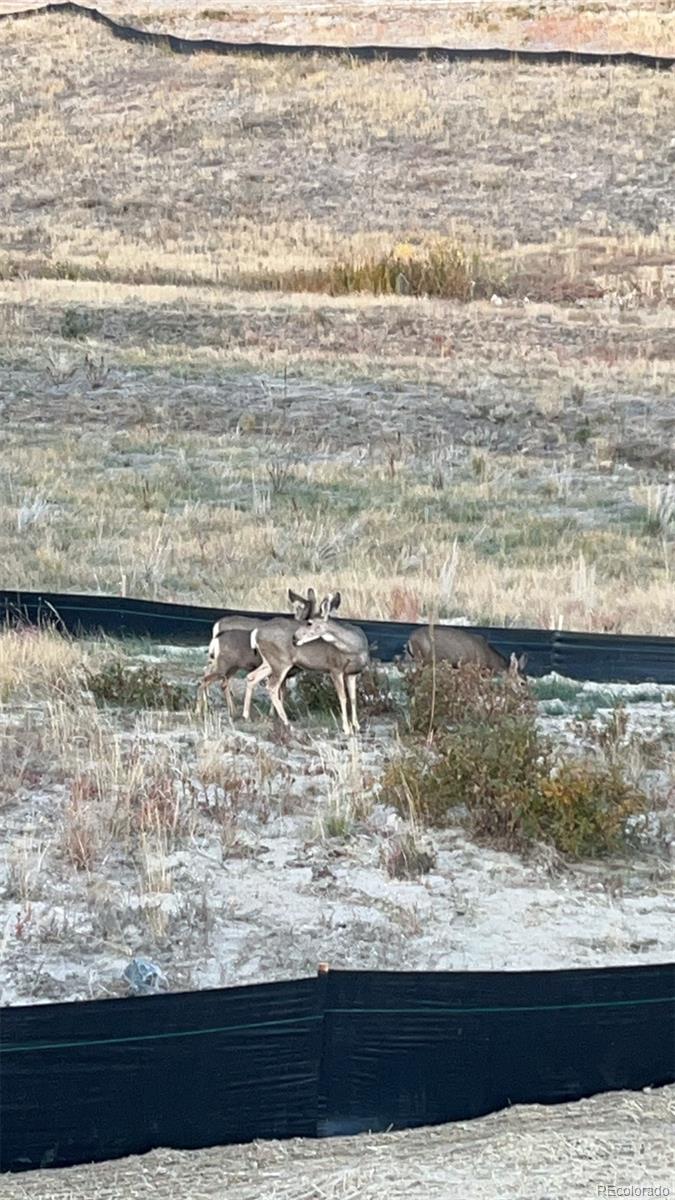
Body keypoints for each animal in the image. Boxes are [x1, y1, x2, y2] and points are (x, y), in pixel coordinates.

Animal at [241, 592, 367, 734]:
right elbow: (343, 697)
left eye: (309, 623)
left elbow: (353, 698)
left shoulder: (352, 673)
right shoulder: (335, 669)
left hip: (270, 662)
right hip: (281, 661)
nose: (294, 637)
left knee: (252, 677)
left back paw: (246, 716)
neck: (356, 648)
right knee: (272, 687)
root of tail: (256, 632)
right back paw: (288, 724)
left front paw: (357, 726)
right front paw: (347, 729)